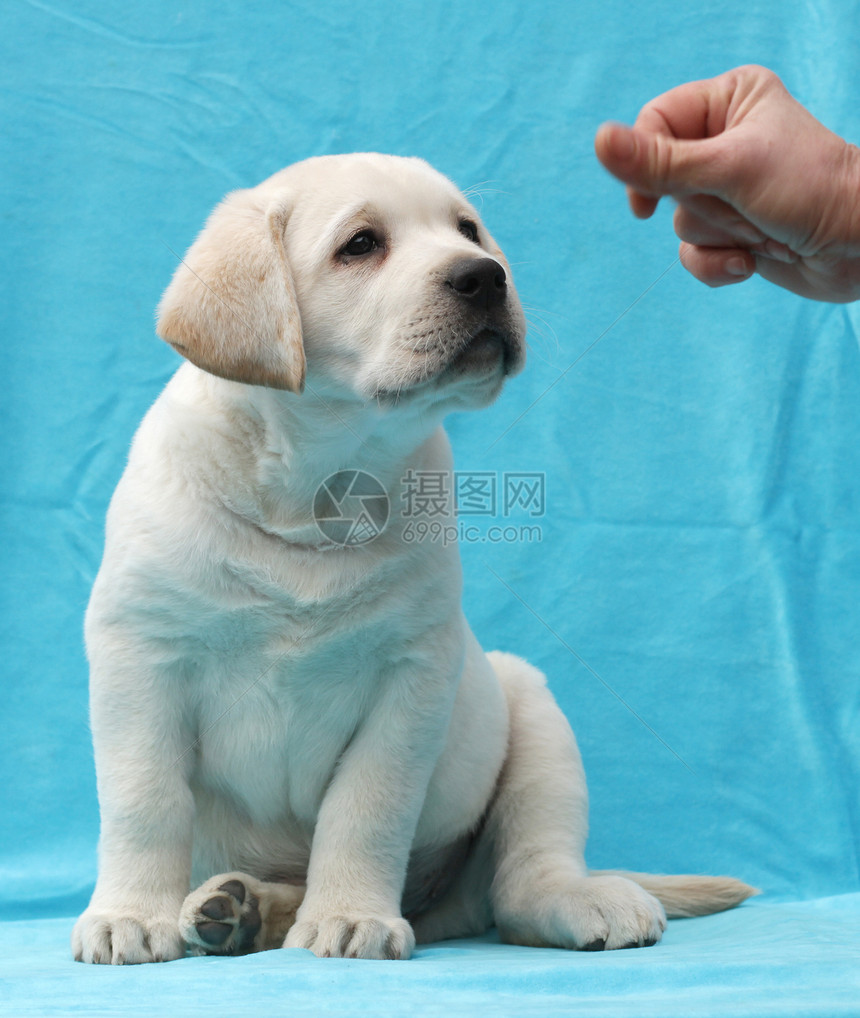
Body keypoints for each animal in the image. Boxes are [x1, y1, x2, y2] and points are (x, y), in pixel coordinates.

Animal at [75, 154, 757, 965]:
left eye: (467, 230)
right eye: (361, 244)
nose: (486, 276)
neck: (318, 495)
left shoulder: (412, 676)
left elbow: (367, 808)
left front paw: (350, 915)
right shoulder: (139, 655)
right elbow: (144, 800)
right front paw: (129, 914)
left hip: (531, 710)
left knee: (523, 880)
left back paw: (575, 899)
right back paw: (237, 909)